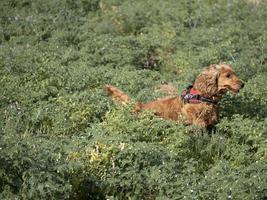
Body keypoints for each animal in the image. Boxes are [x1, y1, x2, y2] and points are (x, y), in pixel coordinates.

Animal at [104, 63, 245, 129]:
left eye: (234, 73)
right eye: (228, 75)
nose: (243, 84)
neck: (204, 97)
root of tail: (141, 105)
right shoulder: (194, 118)